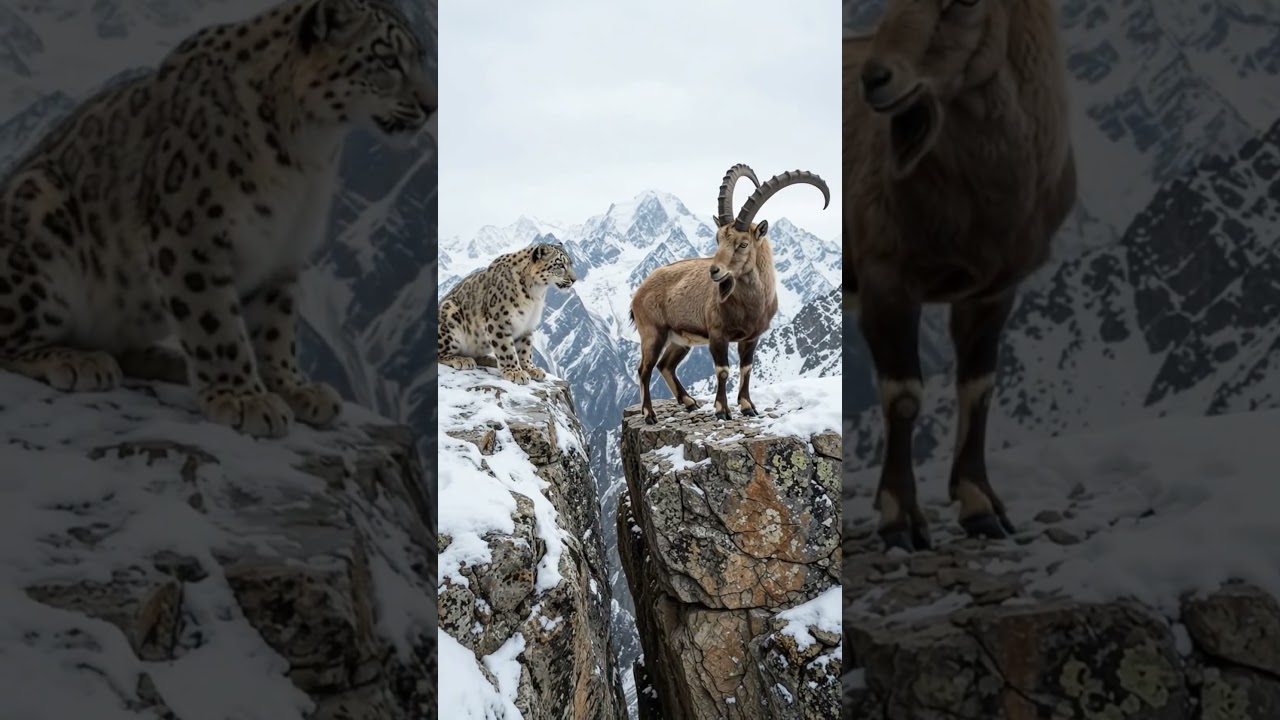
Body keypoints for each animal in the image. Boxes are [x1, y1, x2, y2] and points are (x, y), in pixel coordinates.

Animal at [0, 0, 436, 438]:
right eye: (388, 59)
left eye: (419, 55)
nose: (431, 106)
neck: (309, 151)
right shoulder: (192, 234)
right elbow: (215, 322)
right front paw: (244, 399)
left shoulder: (283, 246)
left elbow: (276, 325)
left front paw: (292, 388)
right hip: (38, 214)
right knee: (11, 337)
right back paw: (79, 361)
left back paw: (168, 361)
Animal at [438, 243, 577, 385]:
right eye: (560, 264)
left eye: (571, 263)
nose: (574, 279)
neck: (536, 293)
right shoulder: (499, 321)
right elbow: (506, 348)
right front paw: (515, 372)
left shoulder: (527, 324)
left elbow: (525, 349)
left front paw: (530, 368)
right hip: (449, 316)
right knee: (441, 353)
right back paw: (463, 360)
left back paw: (491, 360)